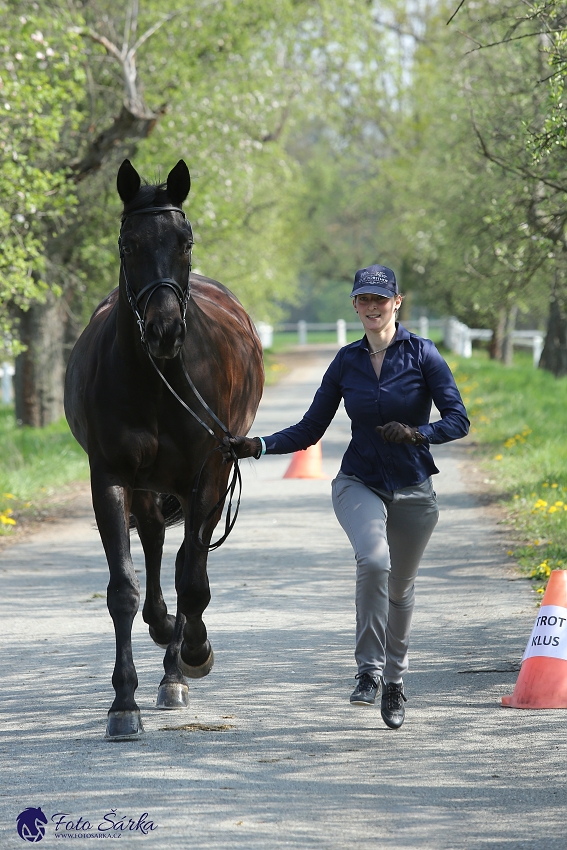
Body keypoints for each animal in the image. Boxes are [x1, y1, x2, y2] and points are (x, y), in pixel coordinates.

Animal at [65, 159, 266, 736]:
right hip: (149, 486)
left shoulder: (211, 471)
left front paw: (191, 656)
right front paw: (122, 704)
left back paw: (180, 659)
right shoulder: (110, 476)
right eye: (126, 243)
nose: (163, 331)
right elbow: (124, 590)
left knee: (183, 563)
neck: (157, 380)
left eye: (186, 240)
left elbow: (192, 579)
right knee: (156, 549)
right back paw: (163, 639)